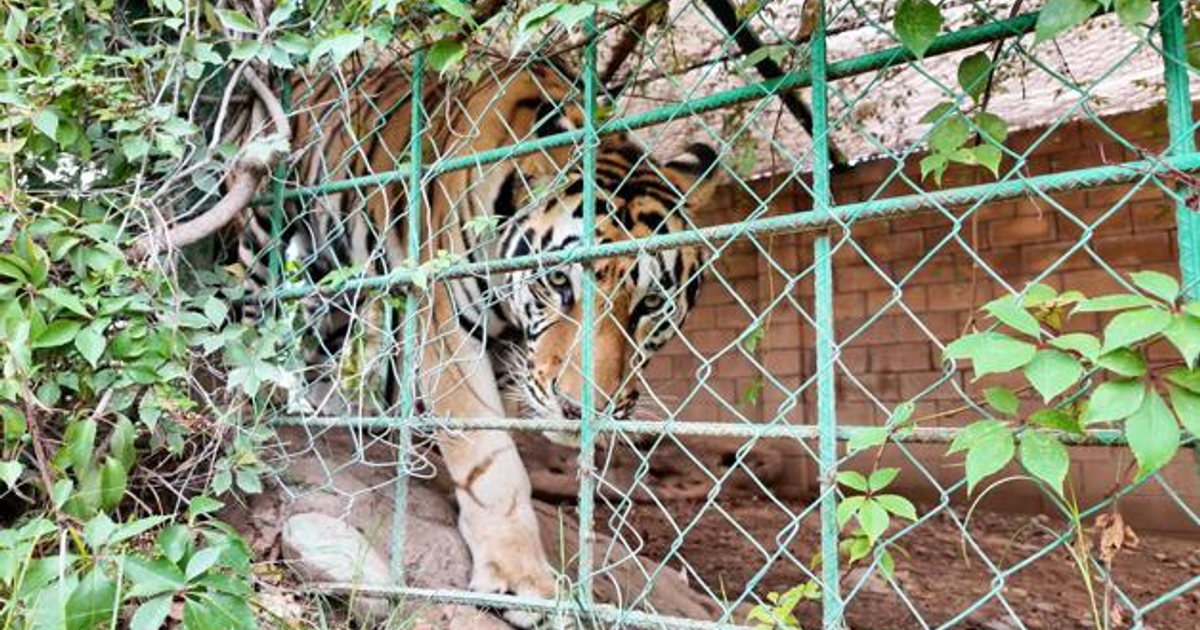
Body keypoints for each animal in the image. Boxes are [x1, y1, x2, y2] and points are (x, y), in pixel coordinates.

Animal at [236, 55, 718, 627]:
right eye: (559, 282)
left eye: (650, 304)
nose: (581, 410)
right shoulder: (448, 329)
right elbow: (491, 462)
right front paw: (521, 579)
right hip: (266, 230)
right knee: (247, 306)